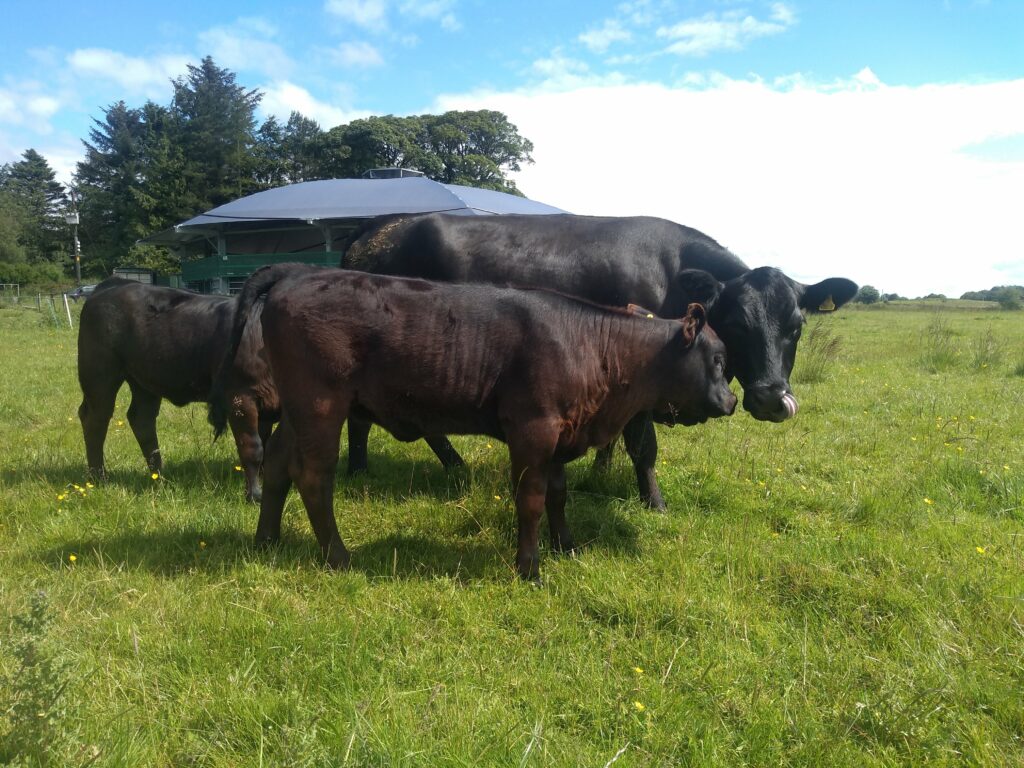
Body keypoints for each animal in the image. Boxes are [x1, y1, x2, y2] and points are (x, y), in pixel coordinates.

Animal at [76, 277, 275, 502]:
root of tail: (112, 285)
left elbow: (265, 444)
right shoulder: (240, 397)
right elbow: (253, 447)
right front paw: (255, 495)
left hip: (144, 381)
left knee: (141, 419)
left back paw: (159, 476)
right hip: (99, 374)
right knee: (95, 418)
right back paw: (99, 477)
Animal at [210, 264, 737, 579]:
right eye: (716, 358)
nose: (732, 401)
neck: (591, 343)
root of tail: (300, 273)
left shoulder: (561, 433)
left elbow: (559, 495)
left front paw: (565, 546)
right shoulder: (532, 429)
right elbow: (531, 500)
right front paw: (529, 568)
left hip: (297, 410)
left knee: (278, 465)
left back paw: (266, 540)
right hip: (321, 404)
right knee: (314, 477)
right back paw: (339, 557)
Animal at [342, 213, 858, 509]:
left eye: (797, 325)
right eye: (735, 323)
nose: (771, 398)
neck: (669, 274)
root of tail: (375, 232)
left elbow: (612, 439)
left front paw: (599, 475)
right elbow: (644, 446)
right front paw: (654, 503)